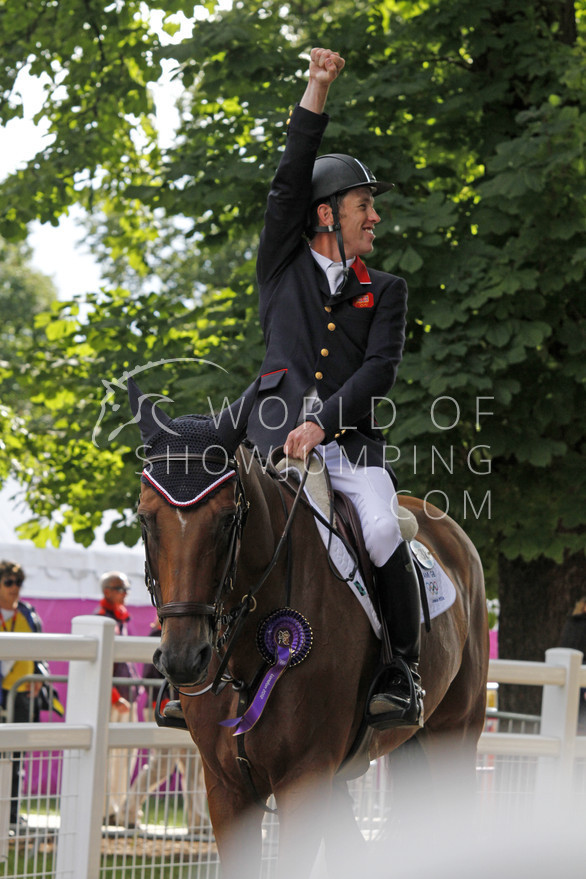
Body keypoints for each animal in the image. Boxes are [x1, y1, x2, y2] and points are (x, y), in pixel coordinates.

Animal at [129, 380, 488, 879]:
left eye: (227, 519)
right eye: (145, 519)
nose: (184, 659)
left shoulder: (304, 777)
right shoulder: (226, 787)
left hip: (455, 733)